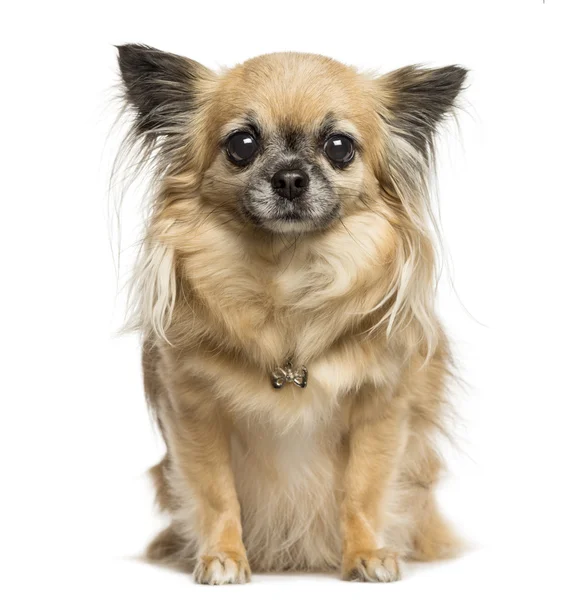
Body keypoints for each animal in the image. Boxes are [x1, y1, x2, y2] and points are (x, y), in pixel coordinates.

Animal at [115, 43, 466, 584]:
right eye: (242, 144)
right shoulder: (194, 411)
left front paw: (366, 553)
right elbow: (217, 494)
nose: (290, 178)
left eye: (339, 146)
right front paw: (223, 557)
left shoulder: (381, 408)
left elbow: (363, 490)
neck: (288, 275)